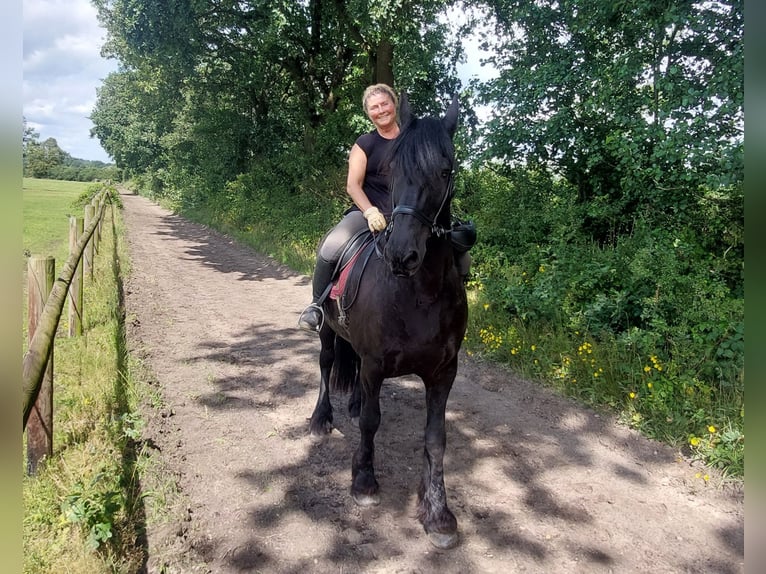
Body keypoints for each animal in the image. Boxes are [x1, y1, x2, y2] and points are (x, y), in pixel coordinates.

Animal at [308, 92, 468, 552]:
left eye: (446, 170)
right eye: (394, 170)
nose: (402, 255)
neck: (420, 292)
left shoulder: (443, 372)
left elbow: (436, 438)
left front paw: (438, 514)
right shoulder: (377, 363)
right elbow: (370, 422)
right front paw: (363, 481)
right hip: (326, 331)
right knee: (327, 364)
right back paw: (321, 419)